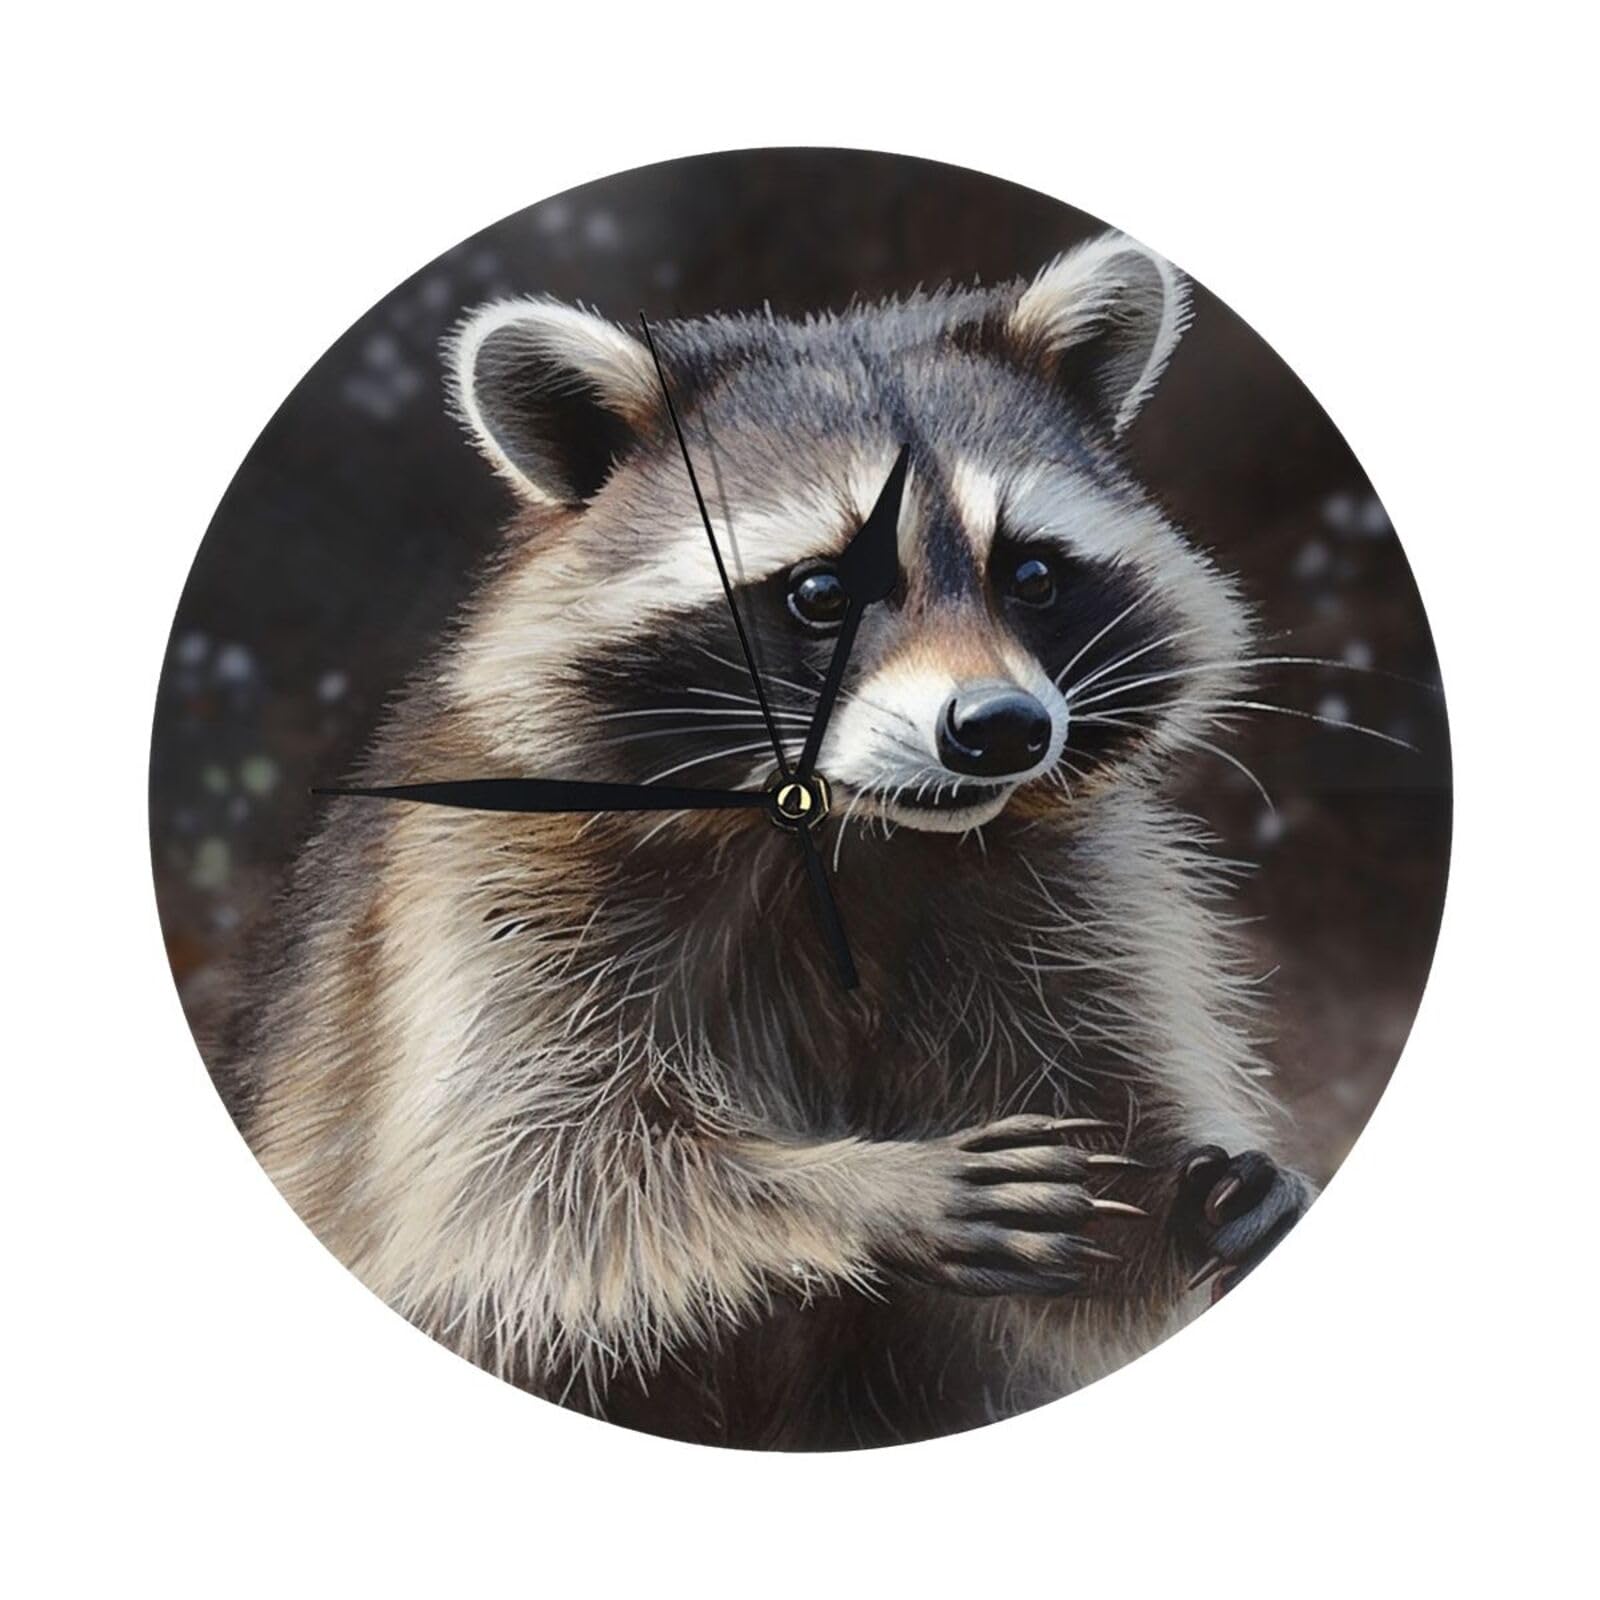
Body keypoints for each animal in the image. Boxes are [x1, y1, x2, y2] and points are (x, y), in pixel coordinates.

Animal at [237, 231, 1315, 1449]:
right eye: (819, 591)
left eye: (1032, 575)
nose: (1002, 729)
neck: (852, 835)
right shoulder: (484, 887)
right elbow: (523, 1183)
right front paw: (861, 1188)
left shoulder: (1068, 897)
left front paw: (1198, 1203)